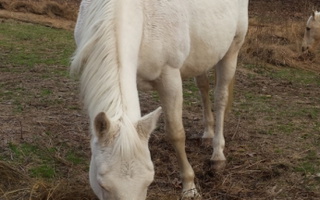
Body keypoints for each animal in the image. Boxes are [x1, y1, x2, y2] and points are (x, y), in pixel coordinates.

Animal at [71, 0, 249, 200]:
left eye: (149, 181)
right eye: (102, 184)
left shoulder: (170, 77)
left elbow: (176, 133)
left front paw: (189, 187)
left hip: (232, 49)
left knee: (220, 99)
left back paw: (217, 155)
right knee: (203, 86)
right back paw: (207, 133)